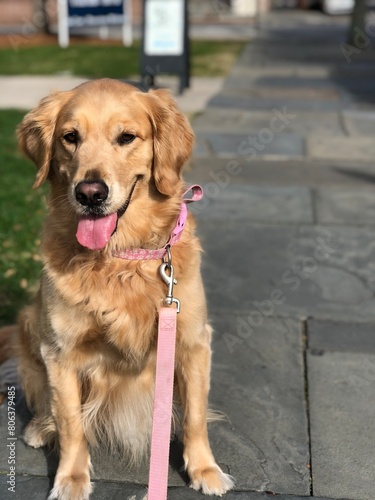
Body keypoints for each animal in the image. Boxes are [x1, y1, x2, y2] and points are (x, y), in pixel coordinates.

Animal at [17, 80, 235, 498]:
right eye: (70, 137)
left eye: (126, 137)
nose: (90, 193)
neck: (120, 257)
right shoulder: (60, 352)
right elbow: (70, 423)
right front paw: (71, 478)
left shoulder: (192, 341)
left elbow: (196, 415)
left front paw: (205, 469)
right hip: (28, 326)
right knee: (45, 405)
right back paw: (39, 428)